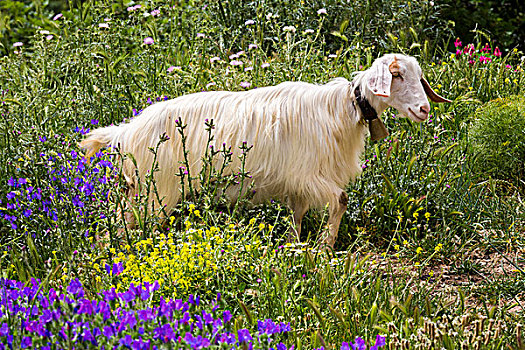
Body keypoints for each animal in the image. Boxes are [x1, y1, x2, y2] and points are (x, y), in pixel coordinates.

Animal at [80, 53, 448, 247]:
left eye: (419, 77)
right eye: (396, 75)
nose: (424, 109)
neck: (342, 109)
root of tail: (125, 131)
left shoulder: (298, 185)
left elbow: (297, 217)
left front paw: (297, 246)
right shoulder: (311, 175)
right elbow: (341, 200)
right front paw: (326, 247)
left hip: (139, 192)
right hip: (155, 192)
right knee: (125, 229)